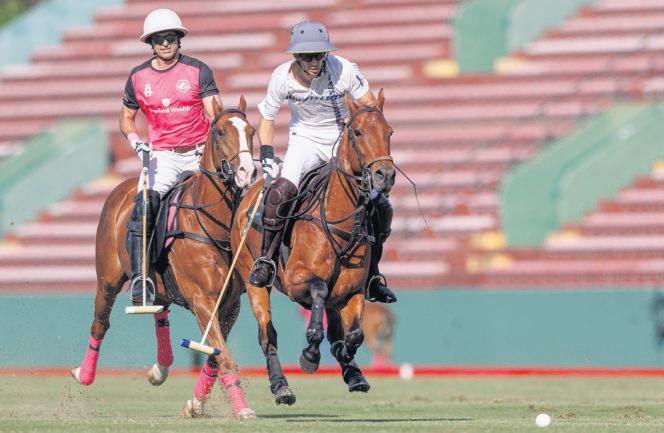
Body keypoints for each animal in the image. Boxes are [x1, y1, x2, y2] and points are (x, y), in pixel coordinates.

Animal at [71, 97, 258, 419]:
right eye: (221, 132)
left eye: (252, 131)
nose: (246, 172)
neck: (215, 223)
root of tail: (123, 187)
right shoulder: (202, 300)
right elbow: (223, 356)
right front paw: (243, 408)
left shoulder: (231, 303)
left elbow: (215, 356)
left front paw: (195, 403)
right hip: (107, 278)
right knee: (100, 323)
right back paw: (84, 374)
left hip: (157, 283)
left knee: (160, 311)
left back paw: (160, 367)